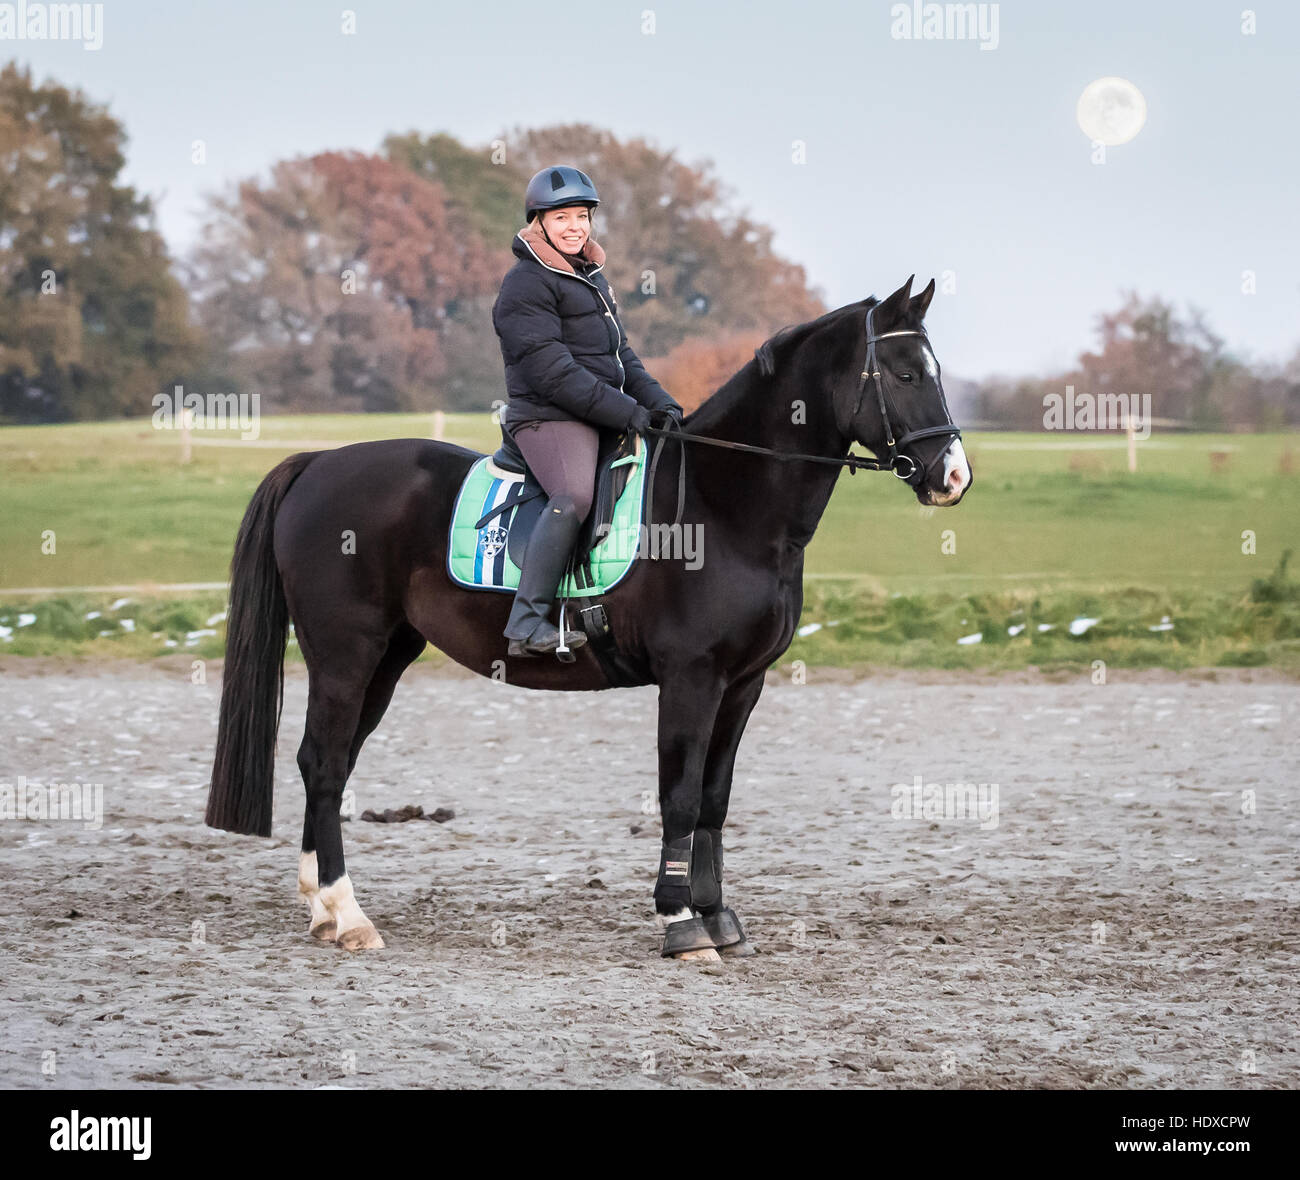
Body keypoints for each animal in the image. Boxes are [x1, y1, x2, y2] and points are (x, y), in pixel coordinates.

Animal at [205, 276, 977, 956]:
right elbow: (680, 797)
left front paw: (718, 916)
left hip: (387, 657)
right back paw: (348, 914)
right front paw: (681, 925)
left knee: (328, 767)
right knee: (325, 762)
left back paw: (322, 909)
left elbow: (715, 798)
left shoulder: (743, 683)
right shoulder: (691, 678)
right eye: (905, 374)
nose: (953, 477)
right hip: (346, 652)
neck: (726, 507)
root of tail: (319, 463)